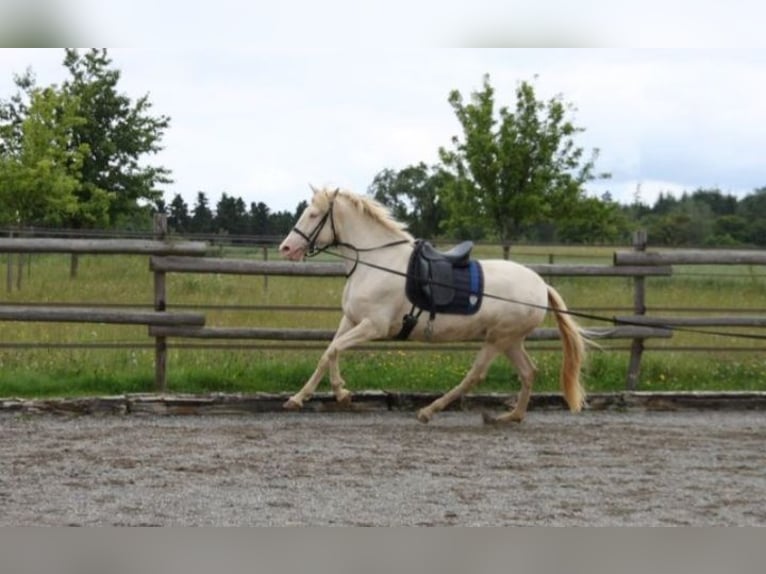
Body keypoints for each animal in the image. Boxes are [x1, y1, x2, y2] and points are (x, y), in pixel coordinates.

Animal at [282, 188, 588, 424]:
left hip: (498, 339)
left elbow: (333, 350)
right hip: (510, 340)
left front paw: (341, 392)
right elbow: (328, 353)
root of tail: (541, 285)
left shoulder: (374, 326)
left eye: (313, 214)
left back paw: (429, 411)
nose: (285, 248)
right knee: (528, 372)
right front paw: (300, 398)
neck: (375, 263)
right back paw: (511, 416)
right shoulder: (351, 320)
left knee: (476, 375)